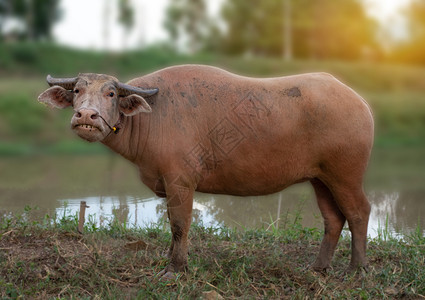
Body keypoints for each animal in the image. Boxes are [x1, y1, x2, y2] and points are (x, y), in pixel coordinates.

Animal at [38, 64, 372, 280]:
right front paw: (170, 260)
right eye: (77, 90)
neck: (152, 118)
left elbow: (179, 224)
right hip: (321, 178)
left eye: (110, 94)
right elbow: (172, 224)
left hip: (345, 176)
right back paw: (318, 268)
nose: (86, 115)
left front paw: (175, 269)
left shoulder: (180, 182)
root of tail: (359, 102)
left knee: (358, 212)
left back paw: (356, 270)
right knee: (333, 219)